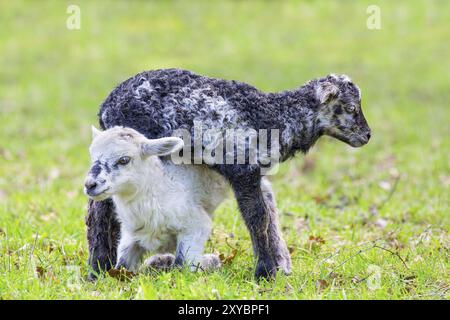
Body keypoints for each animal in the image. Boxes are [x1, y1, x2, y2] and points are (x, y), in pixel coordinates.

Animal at [83, 126, 229, 272]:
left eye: (124, 160)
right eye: (91, 156)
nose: (90, 185)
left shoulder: (195, 225)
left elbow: (181, 265)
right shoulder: (130, 234)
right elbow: (122, 266)